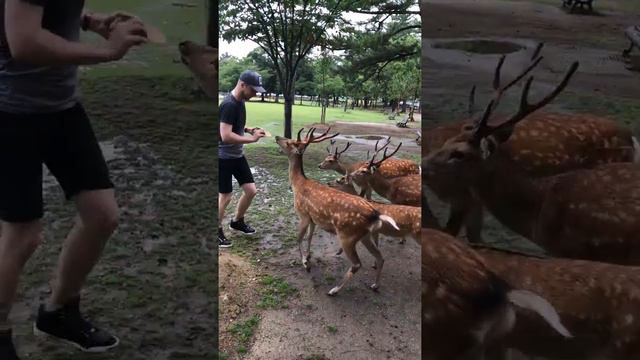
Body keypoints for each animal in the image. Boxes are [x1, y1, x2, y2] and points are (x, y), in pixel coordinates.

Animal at [276, 126, 400, 296]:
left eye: (289, 142)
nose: (277, 137)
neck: (298, 185)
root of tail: (374, 215)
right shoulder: (313, 218)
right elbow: (309, 238)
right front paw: (308, 256)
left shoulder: (303, 214)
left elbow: (299, 238)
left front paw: (305, 263)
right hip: (364, 236)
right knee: (380, 257)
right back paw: (375, 285)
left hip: (347, 235)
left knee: (357, 264)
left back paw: (334, 290)